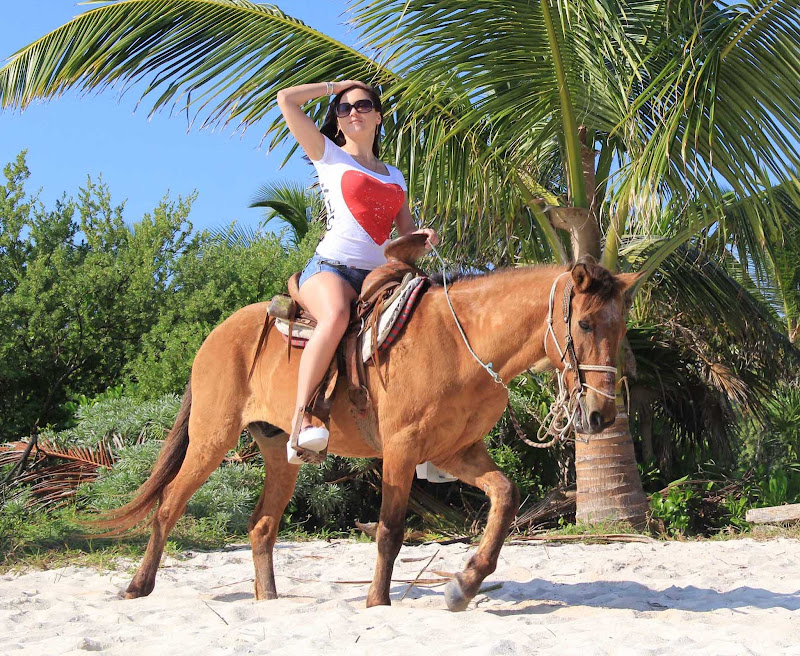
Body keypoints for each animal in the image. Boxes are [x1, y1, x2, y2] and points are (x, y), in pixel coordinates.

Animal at [97, 256, 636, 608]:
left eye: (621, 329)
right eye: (585, 323)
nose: (600, 416)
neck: (463, 344)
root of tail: (216, 334)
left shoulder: (457, 451)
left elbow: (506, 496)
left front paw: (464, 584)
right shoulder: (401, 449)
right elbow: (390, 529)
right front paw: (378, 602)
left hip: (278, 453)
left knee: (262, 526)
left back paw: (268, 600)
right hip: (212, 438)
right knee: (169, 504)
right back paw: (138, 587)